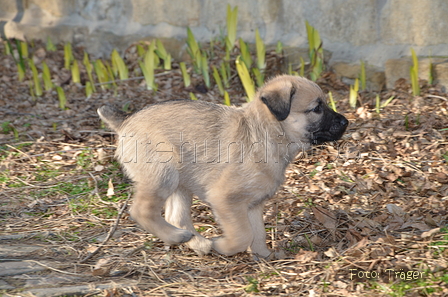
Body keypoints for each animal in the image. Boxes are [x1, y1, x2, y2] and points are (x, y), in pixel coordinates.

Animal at [98, 75, 348, 258]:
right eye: (317, 109)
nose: (346, 122)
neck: (264, 134)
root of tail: (126, 121)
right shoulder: (225, 199)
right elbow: (243, 235)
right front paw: (225, 246)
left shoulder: (253, 204)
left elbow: (258, 233)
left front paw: (265, 256)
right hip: (163, 176)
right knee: (142, 210)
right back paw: (177, 238)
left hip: (180, 184)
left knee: (176, 217)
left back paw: (197, 243)